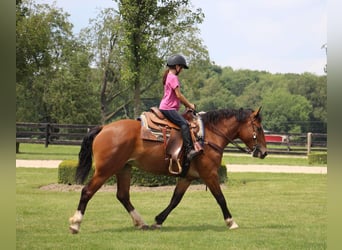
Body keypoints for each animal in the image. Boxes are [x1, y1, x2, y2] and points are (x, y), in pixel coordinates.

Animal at [69, 106, 268, 233]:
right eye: (258, 128)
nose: (264, 152)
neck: (208, 136)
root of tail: (104, 128)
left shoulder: (187, 177)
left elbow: (175, 200)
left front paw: (158, 221)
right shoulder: (209, 174)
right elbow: (220, 198)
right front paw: (231, 222)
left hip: (124, 169)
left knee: (123, 196)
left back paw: (141, 222)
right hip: (105, 170)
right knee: (87, 191)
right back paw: (75, 223)